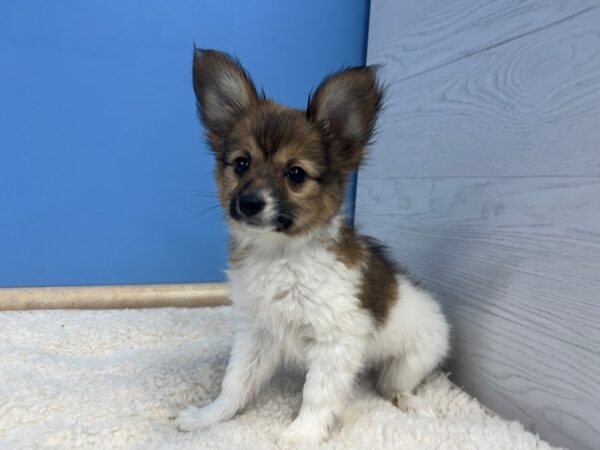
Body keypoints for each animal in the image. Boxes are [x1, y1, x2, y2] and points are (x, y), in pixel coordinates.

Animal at [175, 48, 450, 442]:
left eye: (296, 174)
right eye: (241, 164)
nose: (249, 203)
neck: (280, 255)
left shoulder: (335, 341)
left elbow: (317, 395)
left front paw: (301, 434)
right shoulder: (256, 331)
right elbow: (236, 383)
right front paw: (208, 417)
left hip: (413, 358)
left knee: (391, 388)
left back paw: (414, 404)